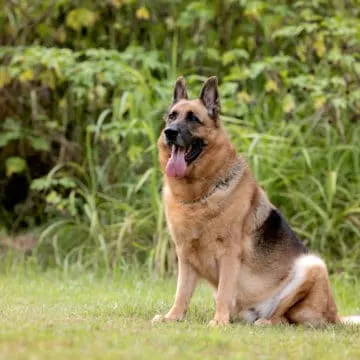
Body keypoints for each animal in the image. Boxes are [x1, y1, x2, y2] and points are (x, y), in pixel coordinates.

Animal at [153, 76, 360, 326]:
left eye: (193, 118)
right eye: (172, 116)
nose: (169, 132)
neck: (199, 195)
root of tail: (334, 316)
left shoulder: (229, 254)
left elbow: (224, 291)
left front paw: (218, 322)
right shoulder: (185, 256)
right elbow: (181, 293)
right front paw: (172, 317)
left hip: (312, 265)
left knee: (284, 317)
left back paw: (266, 322)